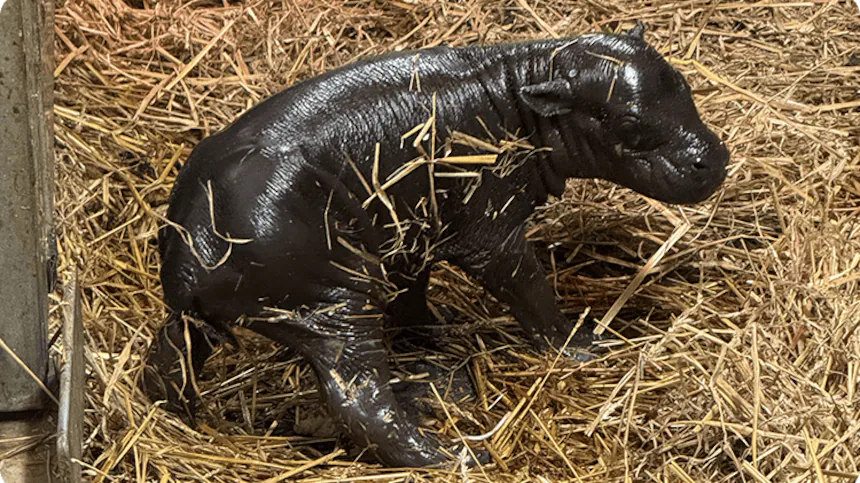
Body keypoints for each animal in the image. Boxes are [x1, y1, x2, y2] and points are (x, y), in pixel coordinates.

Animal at [141, 23, 728, 467]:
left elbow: (412, 297)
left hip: (213, 317)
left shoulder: (411, 234)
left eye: (683, 83)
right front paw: (583, 345)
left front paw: (441, 335)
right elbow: (529, 290)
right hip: (334, 309)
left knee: (170, 357)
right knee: (361, 403)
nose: (714, 159)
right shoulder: (489, 233)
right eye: (626, 120)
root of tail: (191, 253)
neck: (521, 90)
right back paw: (455, 455)